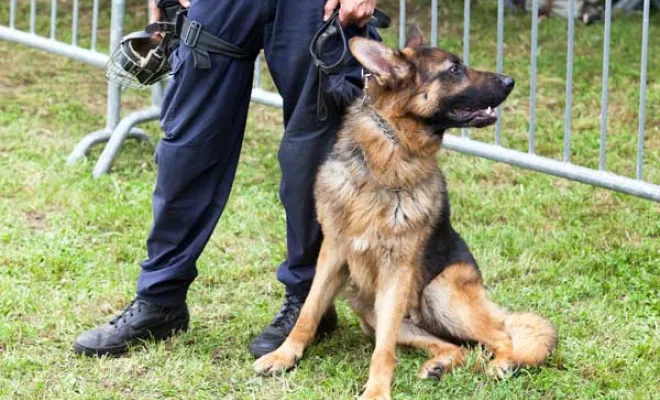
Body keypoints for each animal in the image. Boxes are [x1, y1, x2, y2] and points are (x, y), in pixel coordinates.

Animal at [255, 26, 556, 398]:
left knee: (502, 336)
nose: (510, 80)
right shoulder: (333, 254)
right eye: (454, 69)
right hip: (374, 311)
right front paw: (284, 356)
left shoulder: (396, 270)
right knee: (454, 346)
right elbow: (308, 312)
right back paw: (438, 365)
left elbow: (383, 351)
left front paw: (376, 391)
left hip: (437, 291)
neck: (389, 158)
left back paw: (502, 364)